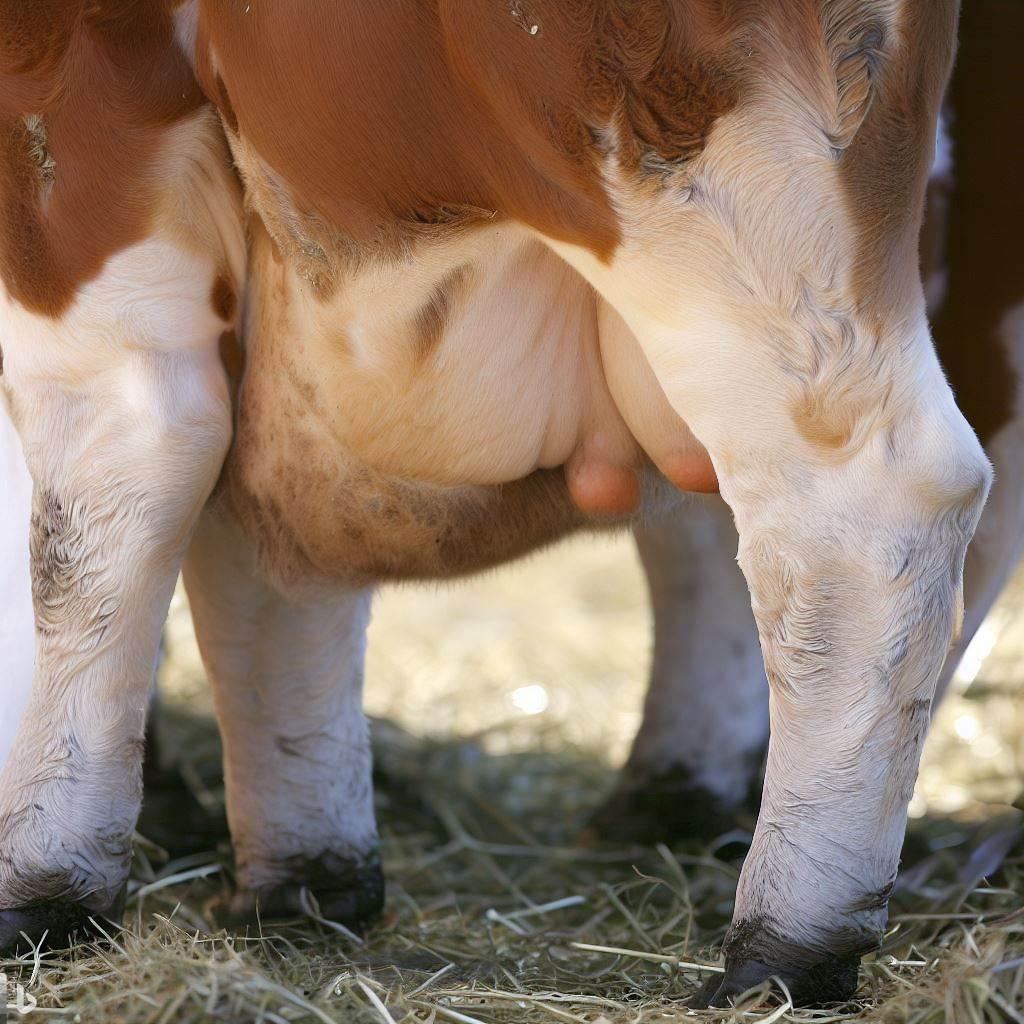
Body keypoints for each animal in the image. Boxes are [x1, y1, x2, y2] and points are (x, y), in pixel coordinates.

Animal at [0, 0, 999, 1007]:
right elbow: (255, 542)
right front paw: (305, 872)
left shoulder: (75, 122)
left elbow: (107, 495)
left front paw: (46, 882)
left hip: (697, 174)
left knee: (867, 509)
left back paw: (786, 942)